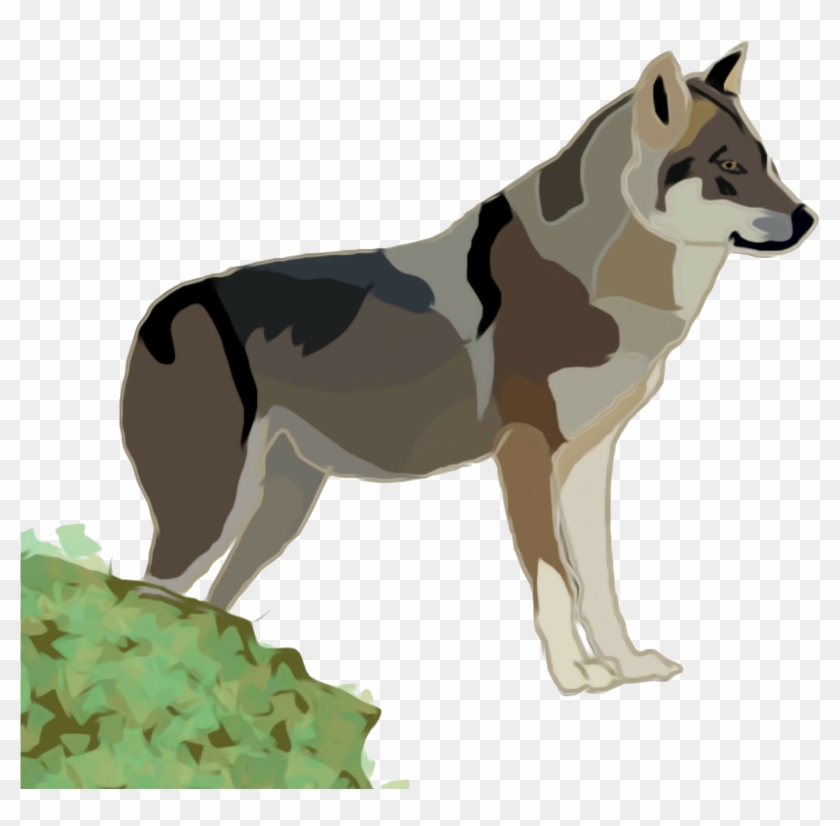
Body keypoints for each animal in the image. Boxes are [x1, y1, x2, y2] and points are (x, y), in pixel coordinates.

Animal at [121, 44, 818, 695]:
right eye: (728, 166)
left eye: (768, 161)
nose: (808, 217)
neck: (606, 282)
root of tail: (166, 307)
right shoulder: (526, 451)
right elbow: (555, 578)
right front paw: (574, 674)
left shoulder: (588, 459)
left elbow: (598, 579)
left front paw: (625, 664)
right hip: (210, 512)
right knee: (147, 597)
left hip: (279, 512)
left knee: (212, 602)